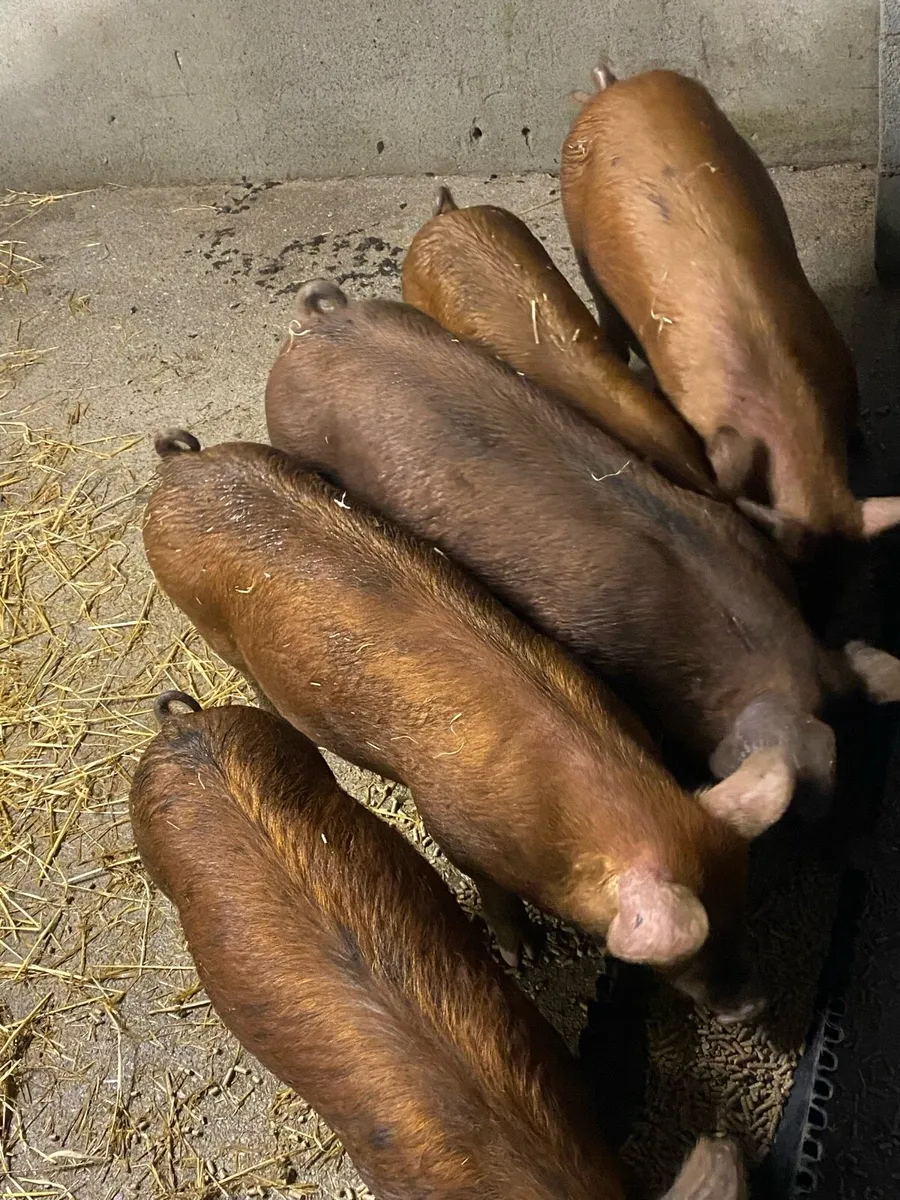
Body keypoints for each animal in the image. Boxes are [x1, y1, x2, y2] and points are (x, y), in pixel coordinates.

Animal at [143, 432, 798, 1019]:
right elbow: (494, 895)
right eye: (674, 952)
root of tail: (181, 466)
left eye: (742, 901)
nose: (755, 1008)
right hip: (208, 624)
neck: (577, 809)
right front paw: (524, 956)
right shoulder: (456, 831)